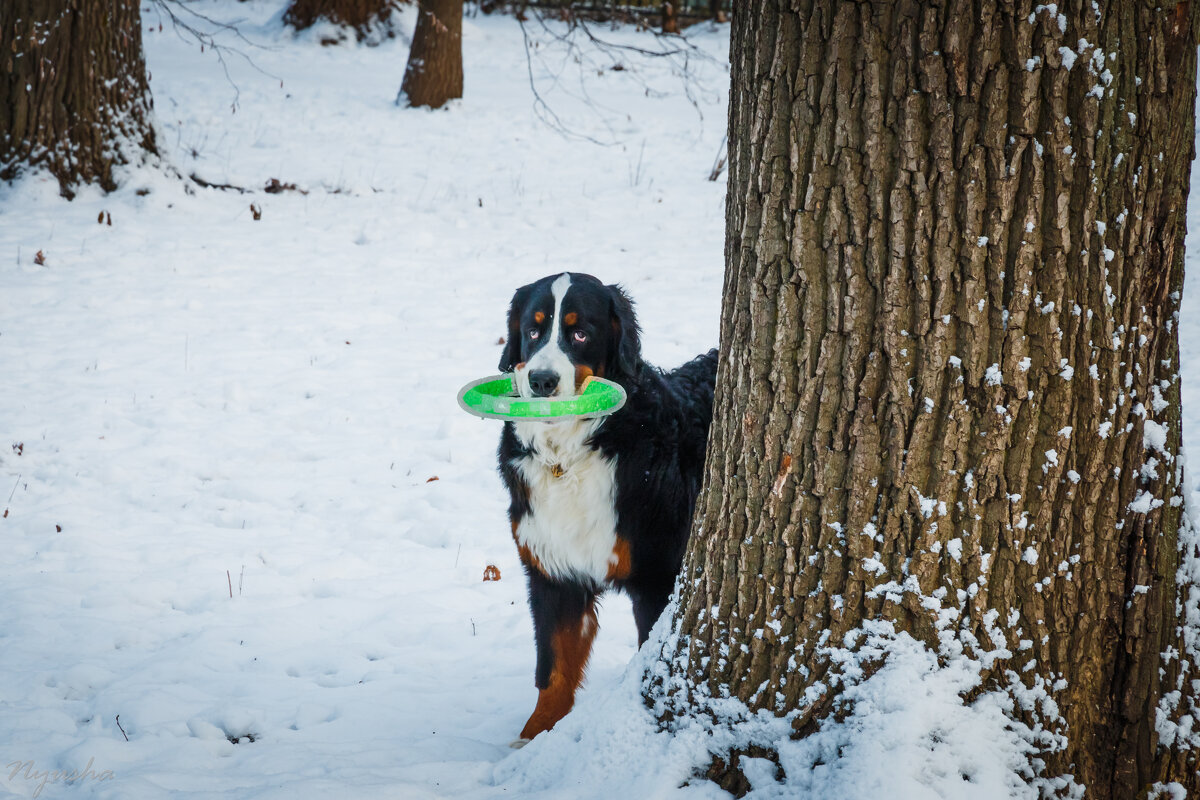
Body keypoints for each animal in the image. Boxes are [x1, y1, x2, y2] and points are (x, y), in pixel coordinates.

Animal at [494, 272, 715, 748]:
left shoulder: (658, 579)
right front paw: (536, 739)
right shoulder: (554, 572)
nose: (541, 381)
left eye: (580, 334)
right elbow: (553, 669)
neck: (572, 456)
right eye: (533, 331)